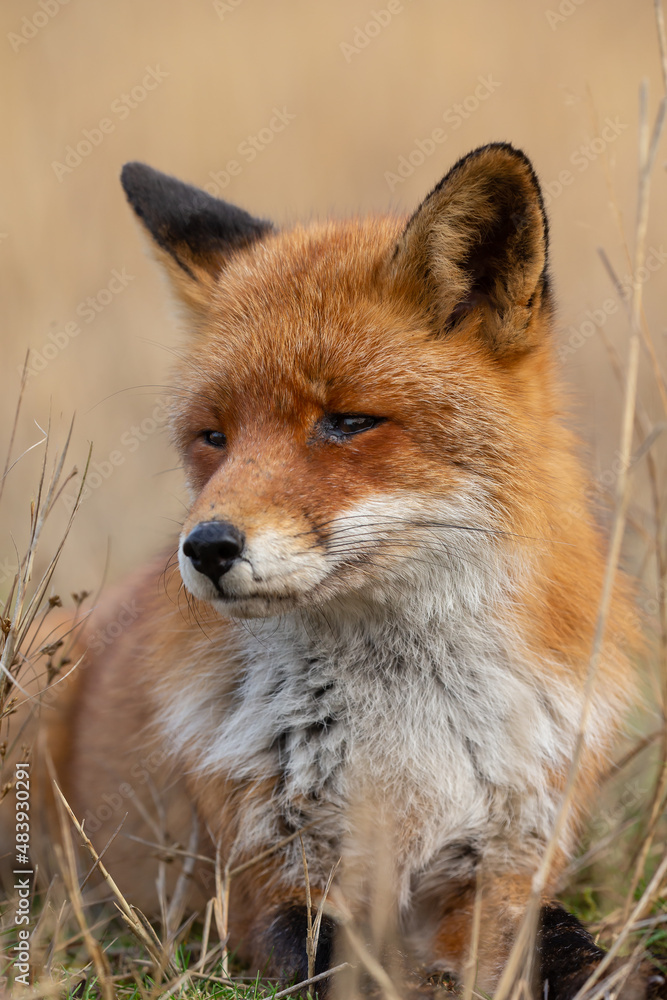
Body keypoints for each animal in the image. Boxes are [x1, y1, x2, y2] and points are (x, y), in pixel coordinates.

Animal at [2, 142, 665, 999]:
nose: (206, 548)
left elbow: (575, 949)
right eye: (212, 436)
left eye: (347, 421)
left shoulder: (502, 862)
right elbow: (352, 965)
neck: (405, 723)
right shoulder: (269, 883)